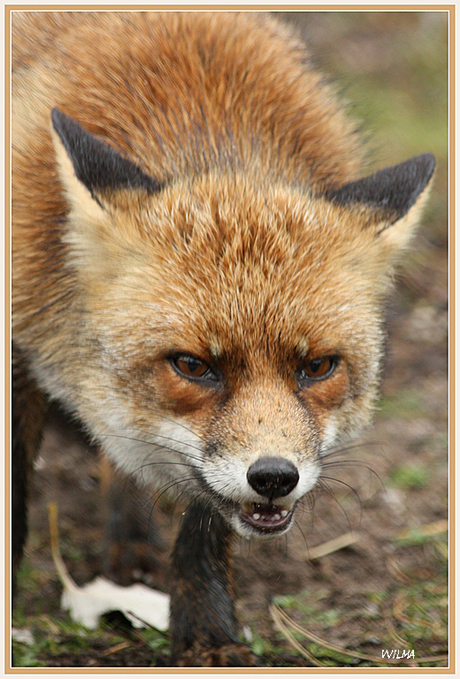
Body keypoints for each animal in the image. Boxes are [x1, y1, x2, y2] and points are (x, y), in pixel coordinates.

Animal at [11, 10, 434, 668]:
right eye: (192, 365)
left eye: (318, 367)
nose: (275, 477)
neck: (198, 118)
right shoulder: (20, 342)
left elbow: (204, 527)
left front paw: (206, 633)